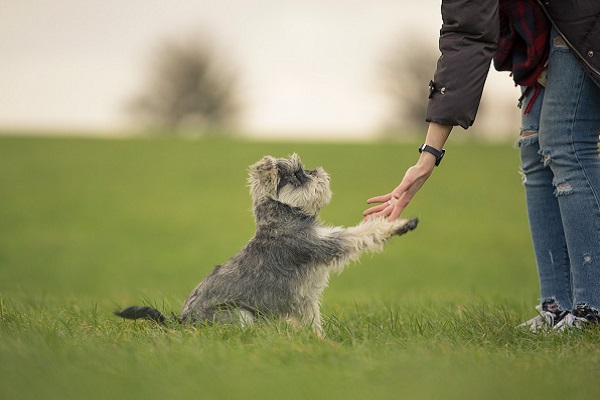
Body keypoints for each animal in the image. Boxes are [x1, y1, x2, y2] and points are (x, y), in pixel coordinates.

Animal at [116, 155, 418, 336]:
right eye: (296, 175)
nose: (317, 171)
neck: (283, 217)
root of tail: (181, 322)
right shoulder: (326, 245)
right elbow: (363, 233)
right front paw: (400, 224)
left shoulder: (305, 299)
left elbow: (313, 323)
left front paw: (318, 341)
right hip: (239, 316)